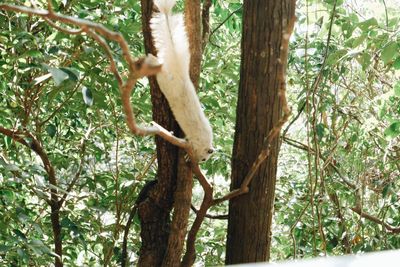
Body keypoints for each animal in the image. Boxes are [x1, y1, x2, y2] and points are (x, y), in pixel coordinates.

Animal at [150, 0, 214, 163]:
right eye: (204, 159)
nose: (199, 161)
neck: (204, 141)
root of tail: (180, 73)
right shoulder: (195, 141)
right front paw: (186, 155)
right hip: (165, 82)